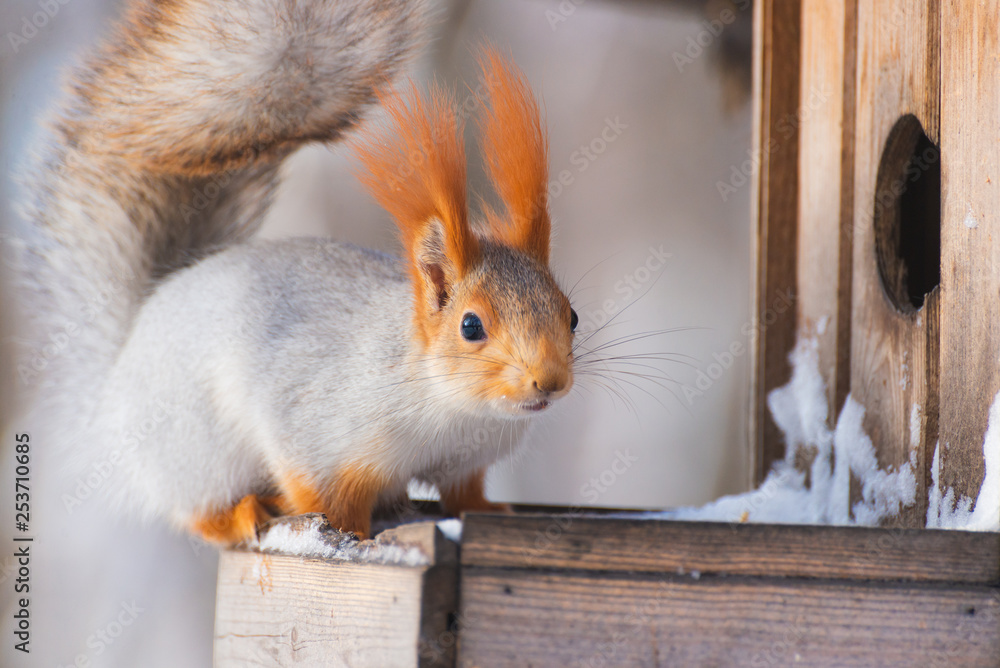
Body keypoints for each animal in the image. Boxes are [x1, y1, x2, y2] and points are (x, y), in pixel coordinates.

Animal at [14, 0, 577, 544]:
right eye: (471, 325)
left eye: (571, 316)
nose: (549, 382)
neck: (458, 410)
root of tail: (119, 363)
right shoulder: (316, 427)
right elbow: (315, 487)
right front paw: (346, 535)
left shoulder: (465, 462)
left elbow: (464, 496)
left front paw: (493, 513)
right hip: (194, 452)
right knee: (198, 512)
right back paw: (241, 514)